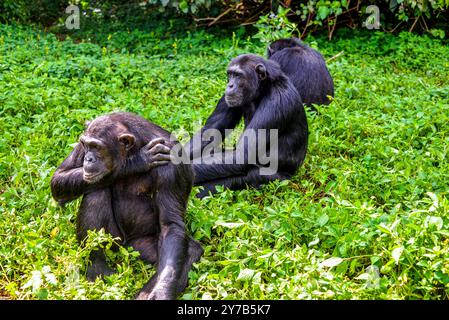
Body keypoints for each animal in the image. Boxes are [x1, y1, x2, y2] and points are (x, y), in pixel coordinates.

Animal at [50, 112, 201, 300]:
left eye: (97, 147)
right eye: (86, 145)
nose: (88, 158)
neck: (135, 146)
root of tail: (125, 248)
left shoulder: (171, 166)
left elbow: (170, 225)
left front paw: (161, 292)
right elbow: (59, 178)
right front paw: (134, 163)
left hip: (139, 247)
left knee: (189, 250)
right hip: (114, 239)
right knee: (96, 192)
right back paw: (97, 270)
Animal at [186, 54, 308, 198]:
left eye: (238, 75)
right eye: (230, 74)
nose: (230, 85)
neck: (262, 90)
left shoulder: (278, 101)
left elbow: (241, 155)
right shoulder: (227, 98)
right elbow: (208, 133)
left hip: (280, 180)